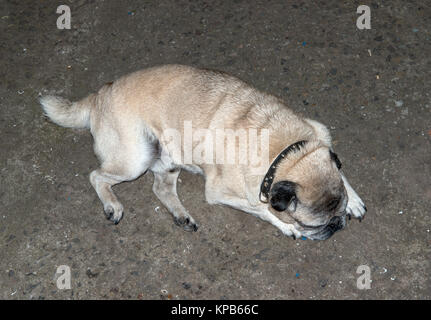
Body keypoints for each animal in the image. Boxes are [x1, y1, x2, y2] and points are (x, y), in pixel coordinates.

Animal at [40, 64, 366, 240]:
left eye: (338, 213)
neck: (287, 154)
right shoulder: (221, 192)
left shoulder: (319, 136)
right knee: (97, 176)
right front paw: (285, 226)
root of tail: (99, 94)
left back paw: (181, 215)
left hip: (167, 158)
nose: (338, 225)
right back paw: (112, 205)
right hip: (135, 159)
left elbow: (339, 170)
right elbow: (261, 208)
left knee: (160, 188)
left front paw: (353, 199)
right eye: (311, 225)